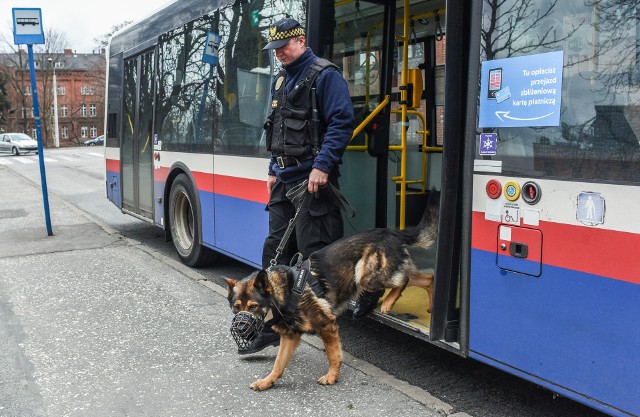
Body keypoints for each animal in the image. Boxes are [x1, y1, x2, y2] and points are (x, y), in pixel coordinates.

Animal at [225, 190, 440, 388]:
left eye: (253, 306)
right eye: (236, 308)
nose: (241, 329)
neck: (285, 292)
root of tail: (391, 232)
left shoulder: (327, 326)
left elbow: (333, 355)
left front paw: (332, 377)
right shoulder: (289, 337)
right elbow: (278, 364)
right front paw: (266, 382)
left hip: (366, 275)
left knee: (403, 280)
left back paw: (387, 303)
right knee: (426, 278)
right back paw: (430, 306)